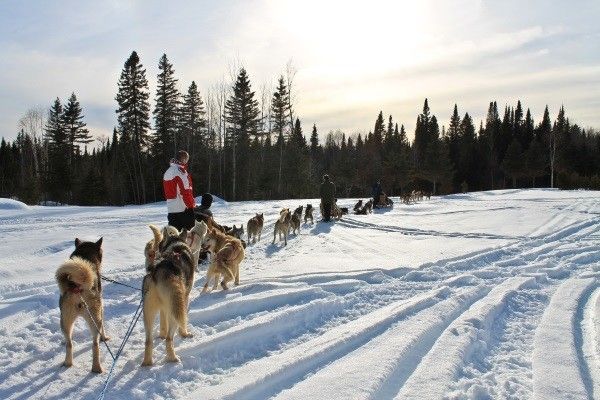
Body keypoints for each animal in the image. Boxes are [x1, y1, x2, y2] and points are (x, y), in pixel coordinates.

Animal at [55, 238, 107, 372]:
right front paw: (105, 338)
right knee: (95, 344)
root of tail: (77, 288)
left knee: (69, 344)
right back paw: (97, 368)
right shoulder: (101, 309)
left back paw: (68, 363)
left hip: (65, 321)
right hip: (95, 319)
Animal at [142, 228, 193, 366]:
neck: (176, 244)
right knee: (169, 339)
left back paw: (147, 363)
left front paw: (161, 334)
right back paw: (172, 358)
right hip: (176, 310)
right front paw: (184, 333)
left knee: (148, 341)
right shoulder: (184, 299)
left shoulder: (164, 308)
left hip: (149, 313)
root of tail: (156, 271)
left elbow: (162, 323)